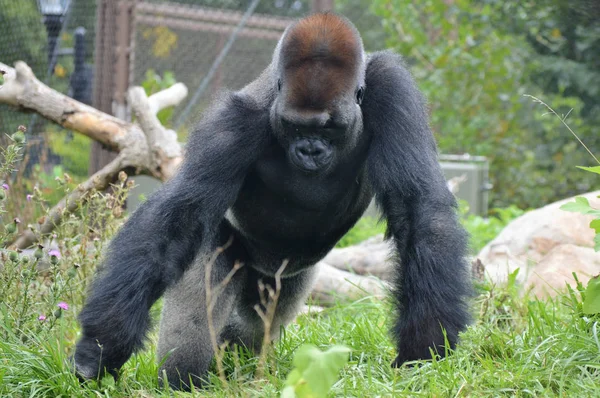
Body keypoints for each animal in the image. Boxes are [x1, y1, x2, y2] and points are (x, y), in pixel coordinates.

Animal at [71, 13, 474, 392]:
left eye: (328, 128)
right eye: (297, 128)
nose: (310, 151)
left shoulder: (392, 89)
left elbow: (418, 210)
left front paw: (424, 342)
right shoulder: (232, 122)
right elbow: (181, 217)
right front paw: (101, 346)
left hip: (284, 284)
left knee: (256, 326)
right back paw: (184, 379)